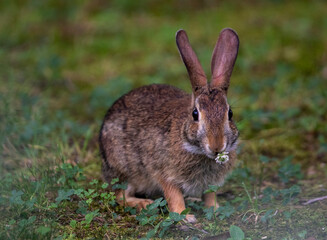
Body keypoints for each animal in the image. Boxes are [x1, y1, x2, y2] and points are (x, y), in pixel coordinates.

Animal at [98, 28, 240, 223]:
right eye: (195, 114)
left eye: (230, 114)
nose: (217, 146)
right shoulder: (164, 173)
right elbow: (174, 195)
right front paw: (185, 216)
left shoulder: (210, 183)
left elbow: (210, 196)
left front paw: (215, 209)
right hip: (125, 171)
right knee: (121, 196)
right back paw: (145, 204)